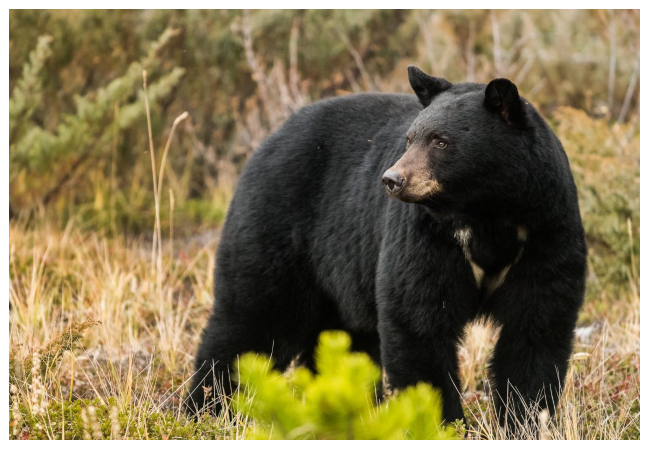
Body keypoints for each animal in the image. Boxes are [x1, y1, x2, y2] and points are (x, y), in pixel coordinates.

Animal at [185, 64, 584, 428]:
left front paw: (527, 420)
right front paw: (440, 421)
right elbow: (417, 321)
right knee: (253, 320)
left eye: (440, 141)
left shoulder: (546, 230)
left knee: (344, 342)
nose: (393, 179)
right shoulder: (426, 237)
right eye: (409, 138)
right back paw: (207, 409)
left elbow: (536, 327)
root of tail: (269, 138)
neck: (486, 214)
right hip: (277, 224)